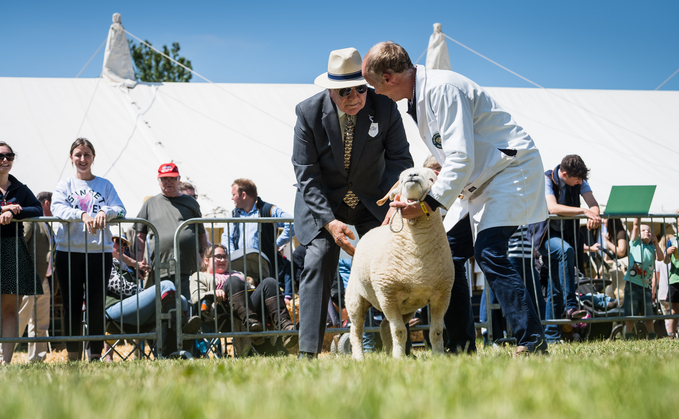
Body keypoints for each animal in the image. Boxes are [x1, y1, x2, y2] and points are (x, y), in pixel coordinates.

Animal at [346, 169, 456, 360]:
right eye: (401, 177)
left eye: (432, 178)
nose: (412, 175)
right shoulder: (388, 295)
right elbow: (399, 331)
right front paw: (399, 358)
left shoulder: (441, 295)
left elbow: (436, 332)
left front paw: (439, 356)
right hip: (355, 299)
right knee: (356, 331)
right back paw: (359, 358)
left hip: (407, 308)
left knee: (383, 325)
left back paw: (389, 353)